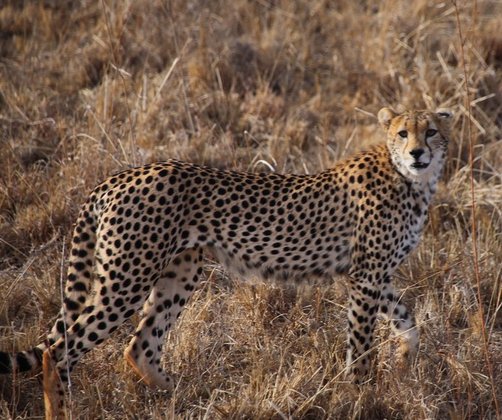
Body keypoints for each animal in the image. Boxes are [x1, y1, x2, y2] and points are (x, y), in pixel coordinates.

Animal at [0, 107, 452, 416]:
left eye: (431, 131)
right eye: (403, 132)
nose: (418, 153)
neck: (410, 179)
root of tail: (120, 176)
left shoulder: (372, 276)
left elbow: (409, 320)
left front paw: (404, 364)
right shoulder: (365, 276)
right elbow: (360, 344)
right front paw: (362, 393)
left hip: (179, 270)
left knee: (140, 346)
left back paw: (184, 394)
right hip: (128, 277)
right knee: (58, 350)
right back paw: (64, 410)